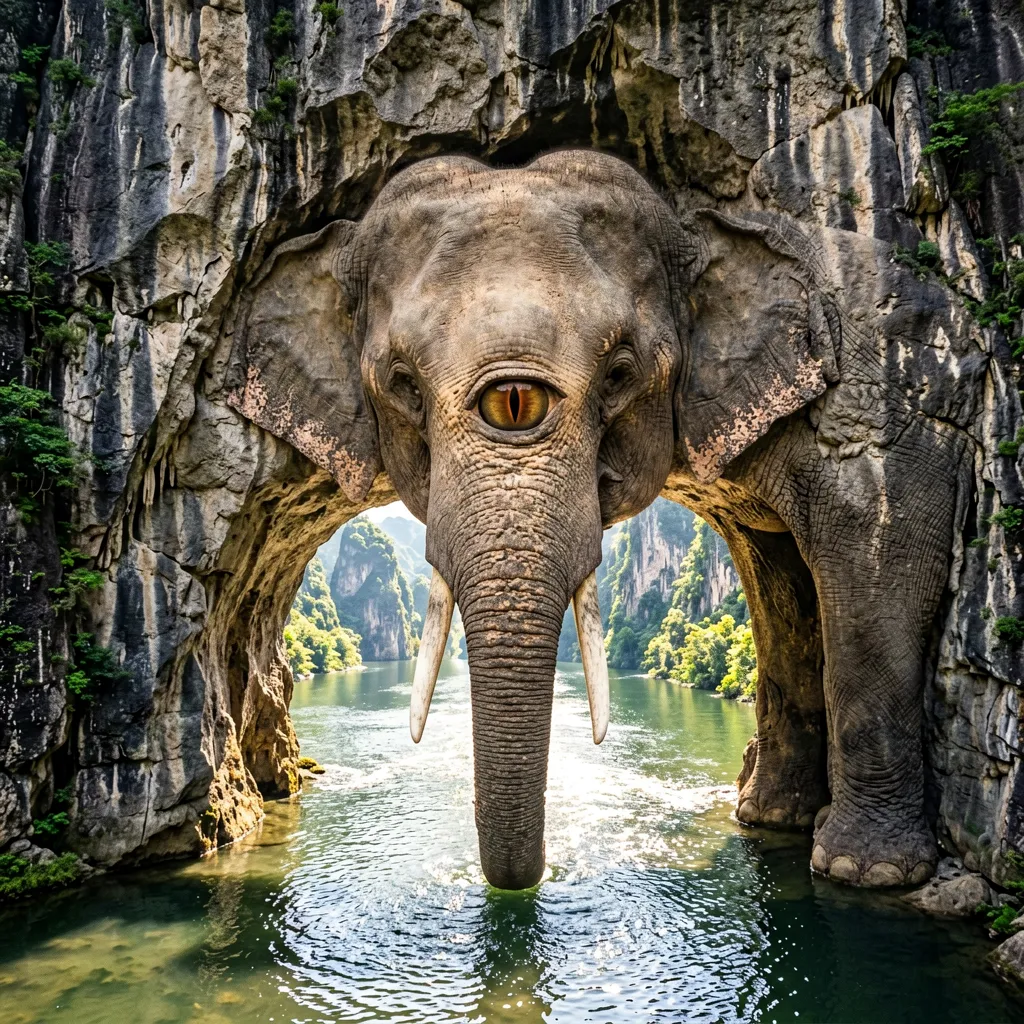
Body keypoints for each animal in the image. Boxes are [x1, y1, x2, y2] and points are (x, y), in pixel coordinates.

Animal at [227, 150, 984, 890]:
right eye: (402, 385)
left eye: (621, 373)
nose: (521, 886)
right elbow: (779, 581)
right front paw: (780, 823)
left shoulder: (877, 408)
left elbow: (872, 551)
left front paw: (864, 872)